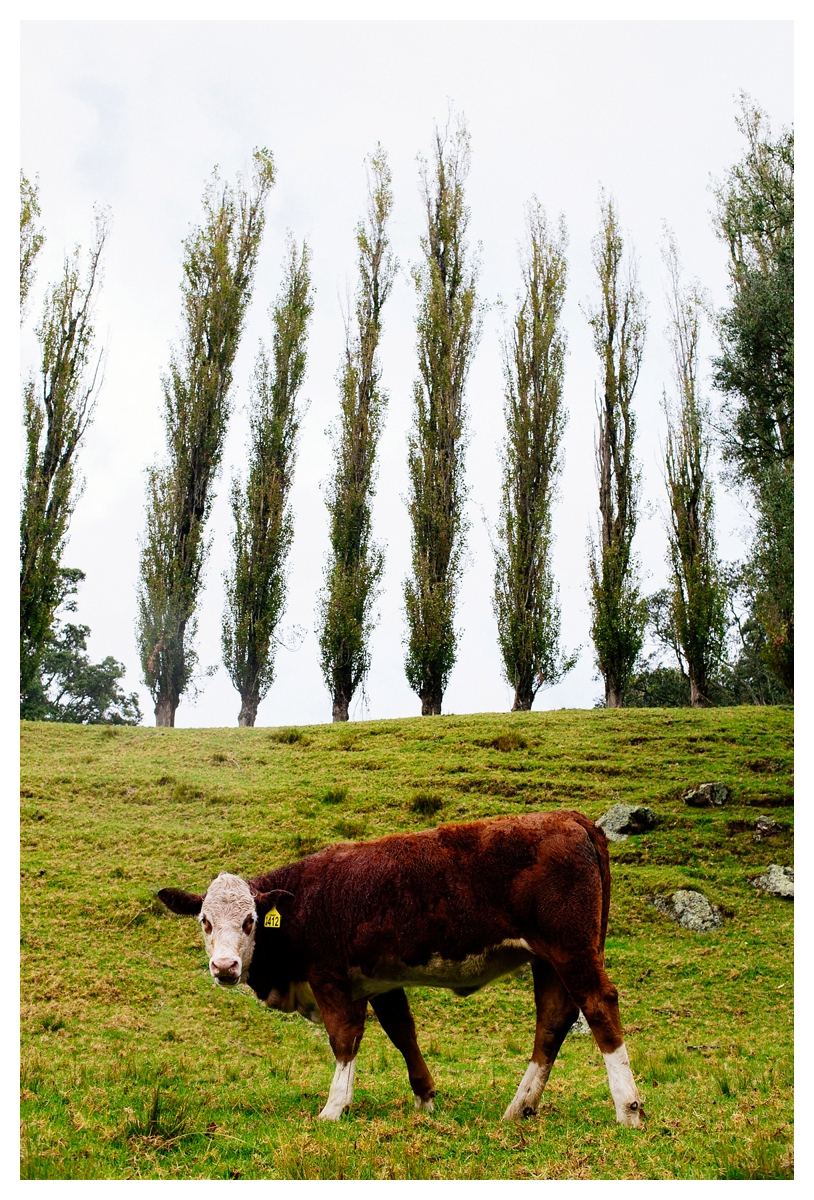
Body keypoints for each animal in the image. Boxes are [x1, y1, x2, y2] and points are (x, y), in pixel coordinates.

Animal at [157, 806, 643, 1123]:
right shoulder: (381, 981)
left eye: (250, 921)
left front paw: (334, 1107)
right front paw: (425, 1099)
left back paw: (628, 1108)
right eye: (204, 921)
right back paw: (518, 1107)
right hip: (548, 959)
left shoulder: (330, 978)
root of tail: (571, 818)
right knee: (553, 1020)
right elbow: (402, 1033)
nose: (224, 966)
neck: (305, 903)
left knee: (599, 1006)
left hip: (571, 950)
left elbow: (344, 1039)